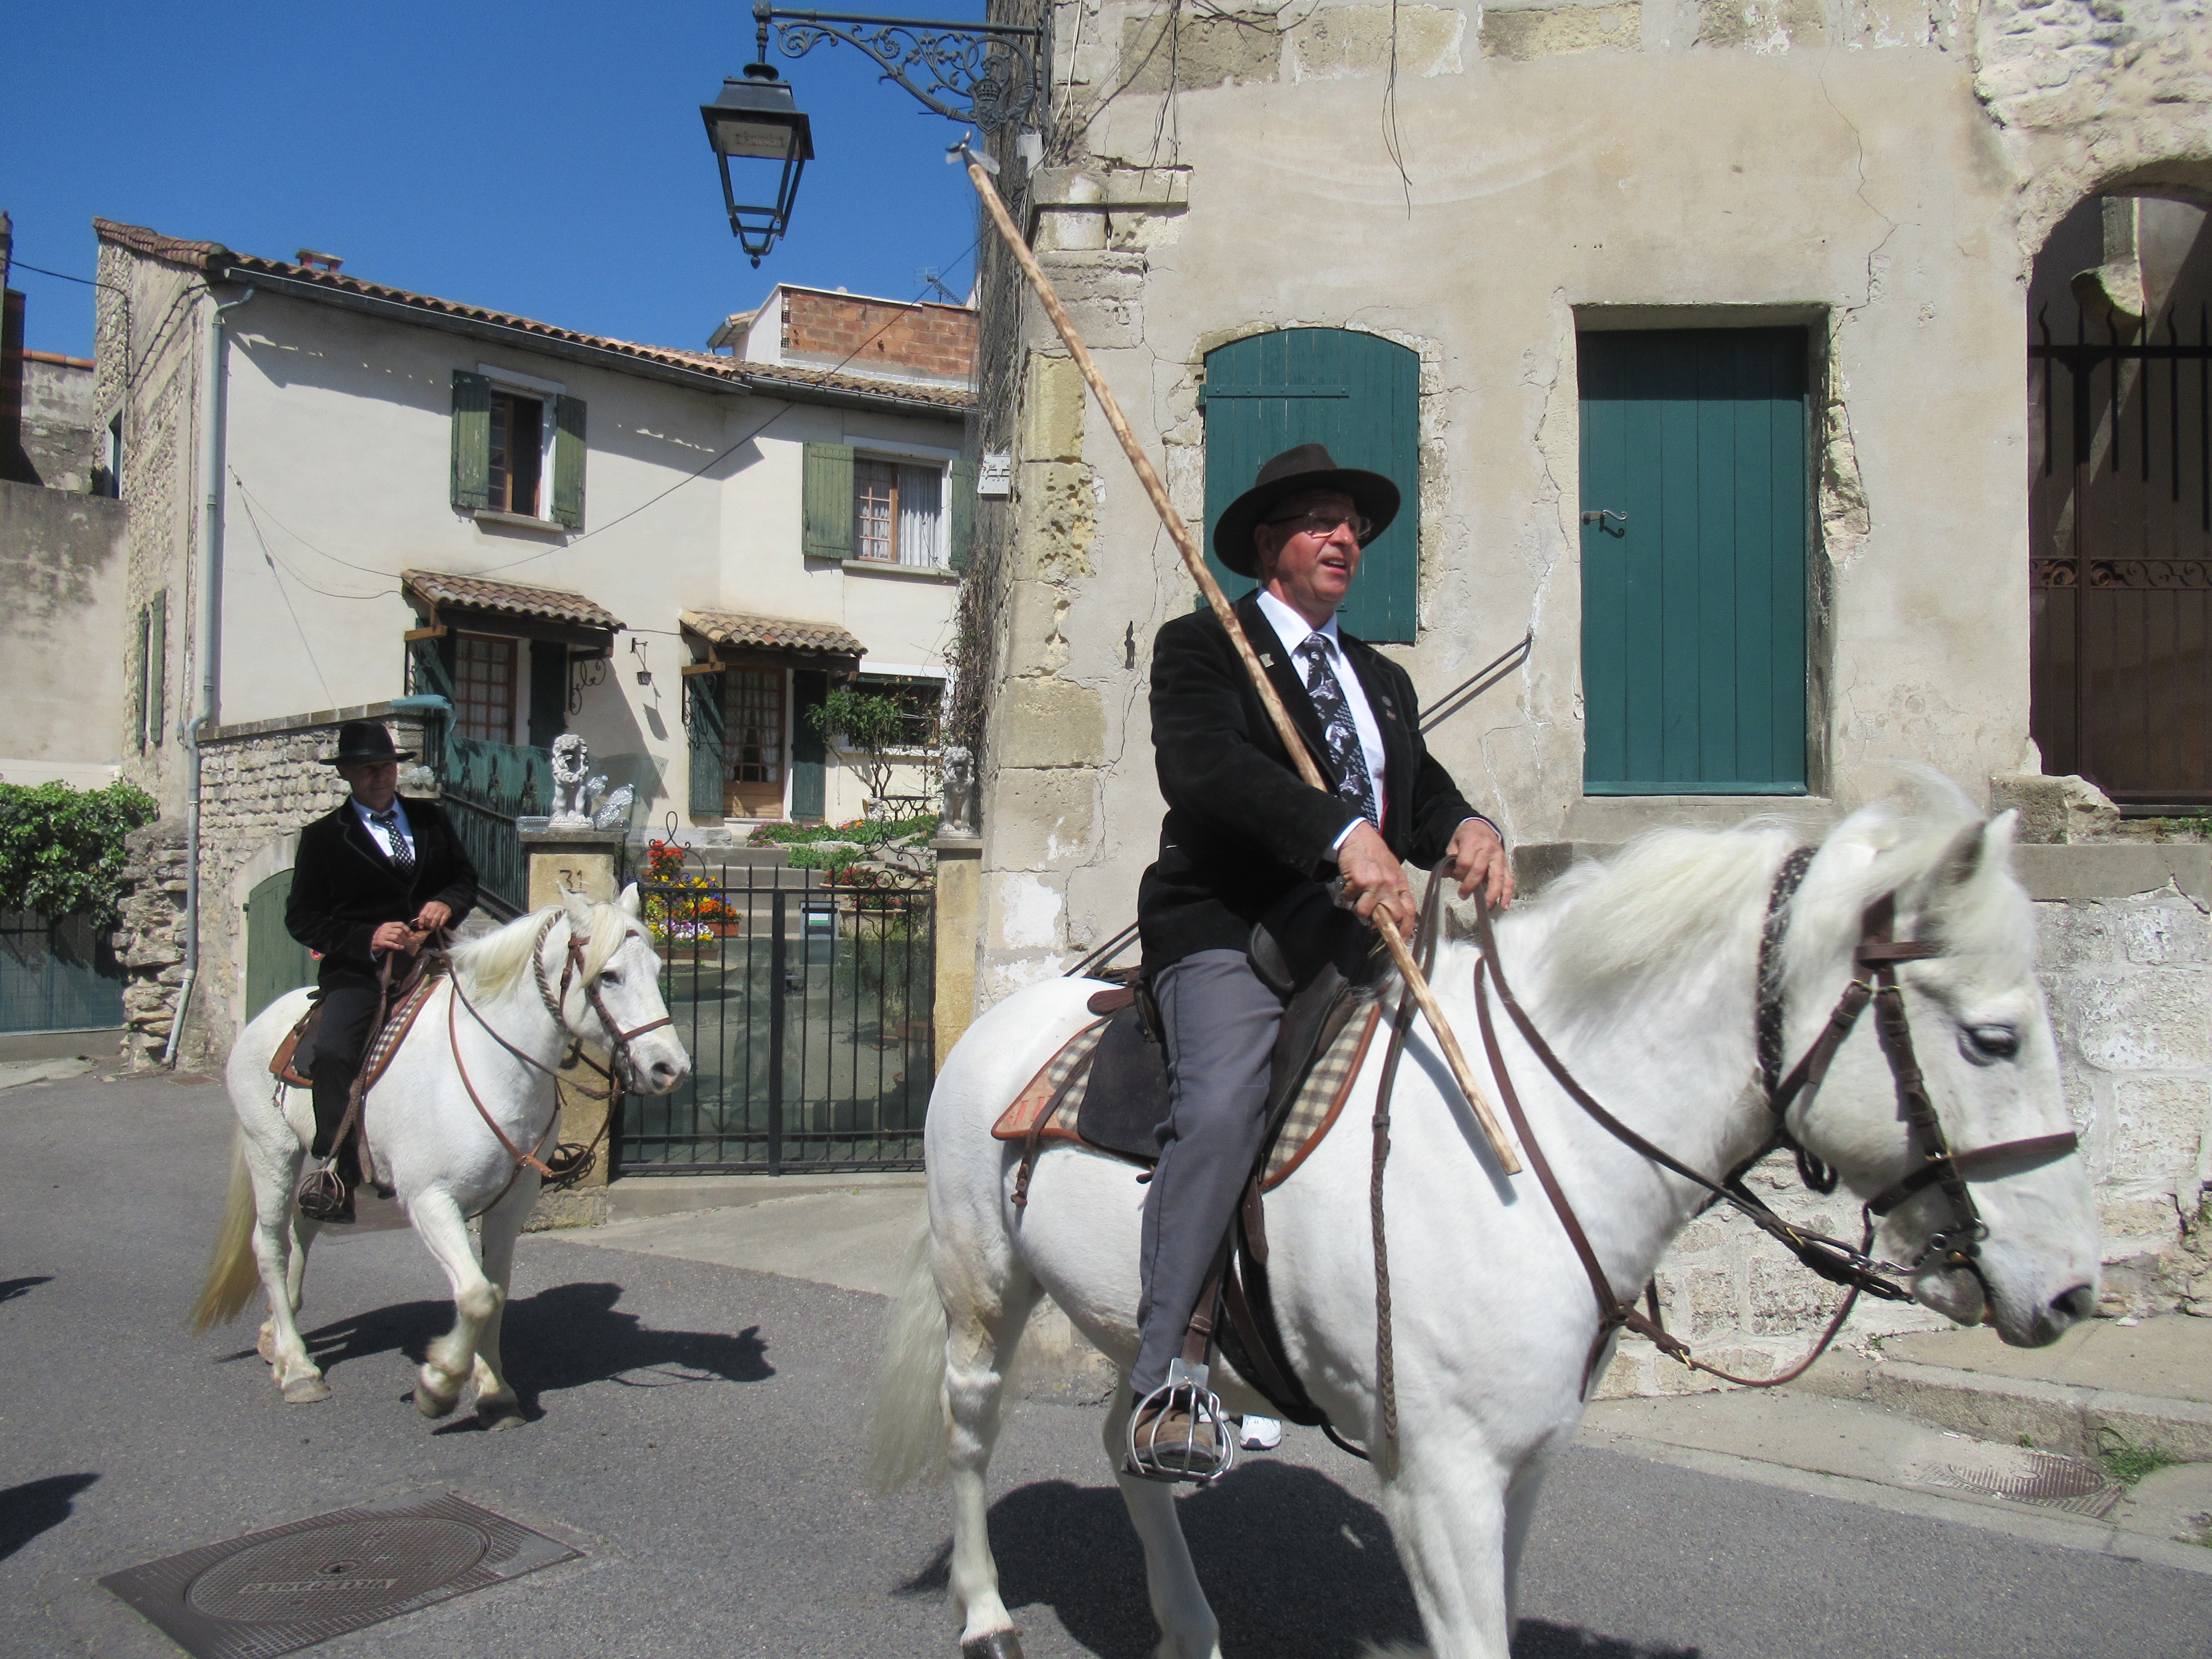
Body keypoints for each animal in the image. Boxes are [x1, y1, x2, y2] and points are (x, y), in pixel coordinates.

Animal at [191, 886, 689, 1425]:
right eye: (610, 975)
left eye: (657, 969)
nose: (672, 1068)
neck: (492, 1064)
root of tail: (268, 1017)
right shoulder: (430, 1200)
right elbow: (474, 1295)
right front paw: (441, 1382)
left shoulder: (511, 1204)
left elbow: (495, 1290)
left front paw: (494, 1390)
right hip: (271, 1151)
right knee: (270, 1246)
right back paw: (297, 1366)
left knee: (305, 1227)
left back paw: (276, 1337)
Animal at [875, 787, 2102, 1659]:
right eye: (1993, 1039)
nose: (2072, 1291)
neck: (1534, 1142)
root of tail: (1006, 1020)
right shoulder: (1441, 1482)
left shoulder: (1522, 1467)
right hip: (984, 1295)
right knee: (972, 1426)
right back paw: (987, 1618)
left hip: (1143, 1328)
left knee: (1127, 1447)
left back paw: (1190, 1629)